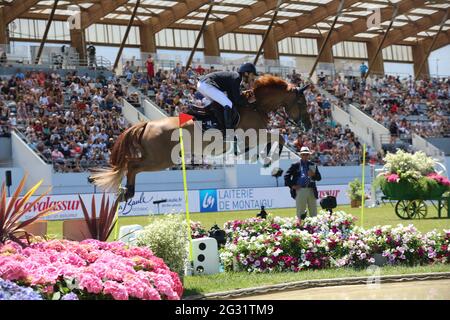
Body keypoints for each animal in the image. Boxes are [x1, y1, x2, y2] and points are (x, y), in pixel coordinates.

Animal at [89, 75, 312, 200]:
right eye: (302, 103)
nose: (309, 126)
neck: (255, 105)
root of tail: (147, 124)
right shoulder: (254, 134)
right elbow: (277, 137)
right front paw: (267, 161)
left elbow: (272, 140)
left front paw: (262, 159)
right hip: (161, 160)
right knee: (132, 166)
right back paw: (127, 192)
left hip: (155, 157)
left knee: (129, 164)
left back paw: (126, 192)